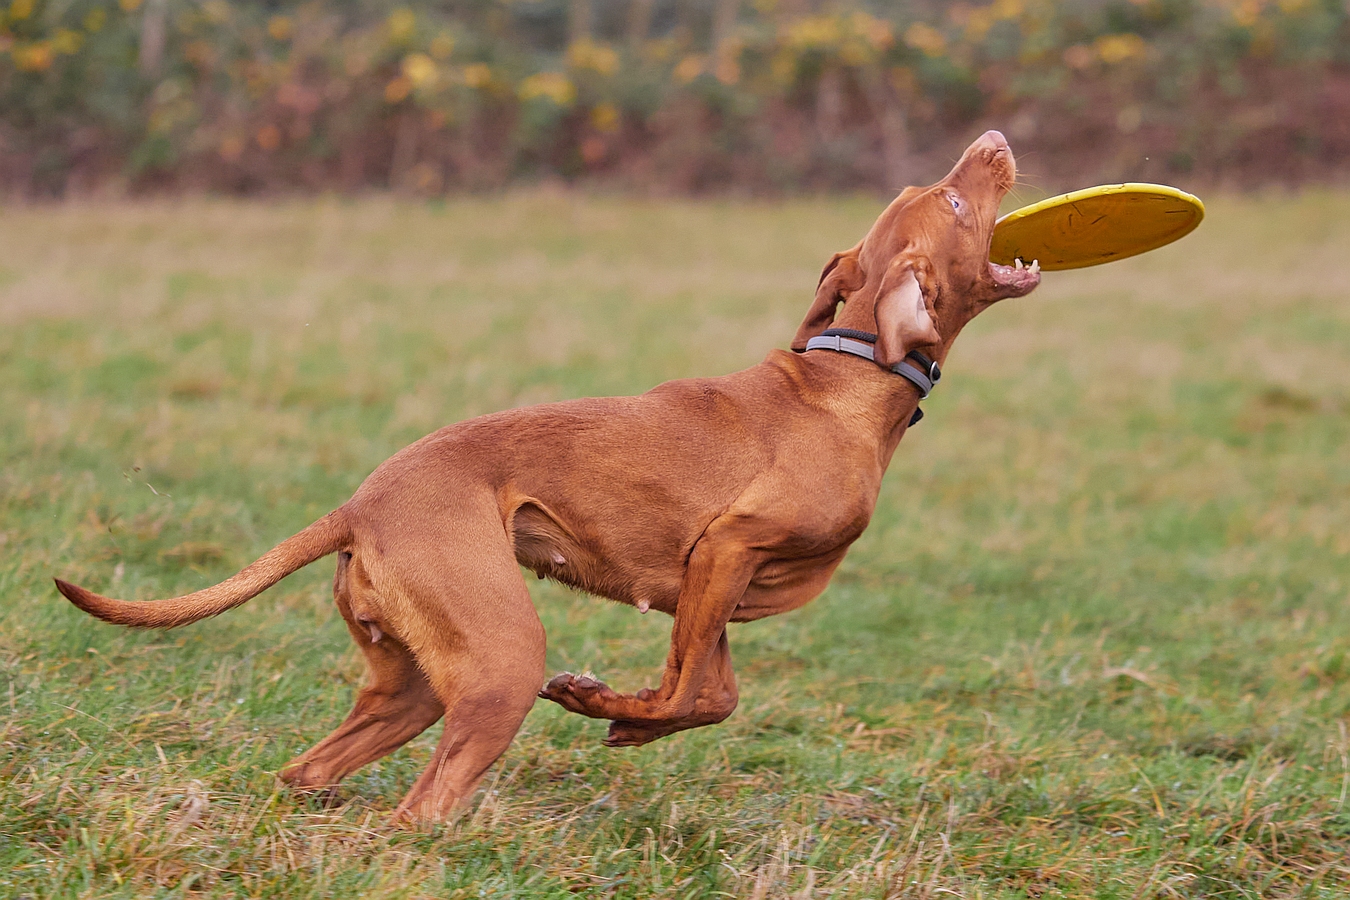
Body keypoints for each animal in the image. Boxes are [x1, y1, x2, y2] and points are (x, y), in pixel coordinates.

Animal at [52, 130, 1042, 820]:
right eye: (955, 204)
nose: (995, 140)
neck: (850, 375)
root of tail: (359, 503)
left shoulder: (709, 582)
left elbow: (710, 694)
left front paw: (619, 713)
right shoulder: (727, 547)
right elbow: (690, 691)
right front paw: (607, 704)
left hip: (415, 681)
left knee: (314, 768)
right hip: (500, 661)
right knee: (422, 810)